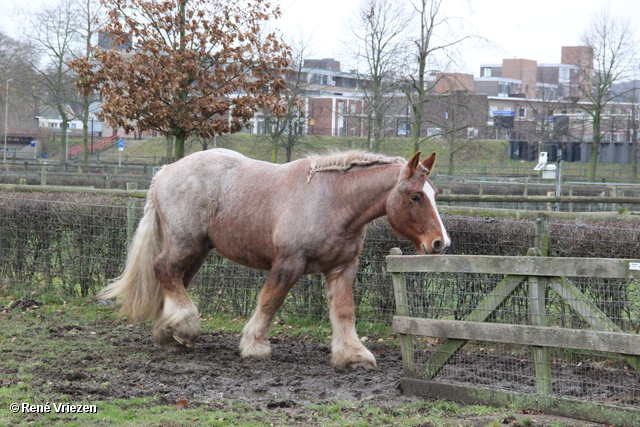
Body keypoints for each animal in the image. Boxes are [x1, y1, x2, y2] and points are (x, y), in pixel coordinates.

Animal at [100, 149, 450, 370]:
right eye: (415, 196)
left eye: (435, 194)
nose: (440, 242)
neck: (334, 201)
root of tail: (166, 172)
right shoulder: (288, 264)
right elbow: (270, 302)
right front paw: (255, 346)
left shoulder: (342, 268)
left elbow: (344, 312)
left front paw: (353, 355)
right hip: (185, 243)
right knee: (165, 270)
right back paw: (185, 326)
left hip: (198, 250)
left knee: (175, 279)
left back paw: (168, 333)